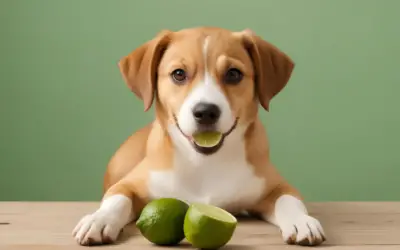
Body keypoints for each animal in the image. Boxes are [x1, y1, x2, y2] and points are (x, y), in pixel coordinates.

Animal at [72, 25, 324, 246]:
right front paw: (98, 219)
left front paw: (302, 221)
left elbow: (289, 200)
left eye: (233, 74)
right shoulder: (130, 184)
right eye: (178, 74)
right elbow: (117, 199)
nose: (205, 112)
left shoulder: (276, 185)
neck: (204, 163)